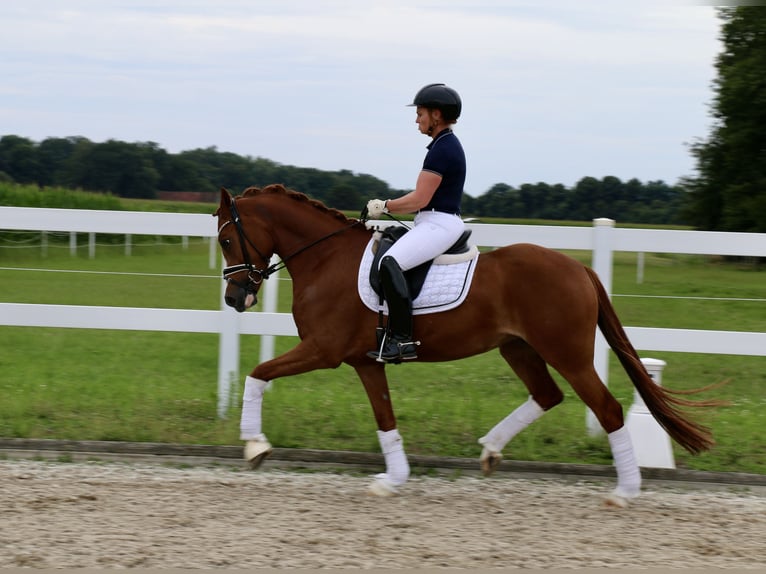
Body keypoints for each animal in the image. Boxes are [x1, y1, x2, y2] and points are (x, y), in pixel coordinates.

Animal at [214, 184, 720, 508]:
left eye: (226, 238)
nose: (236, 299)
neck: (325, 258)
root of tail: (580, 269)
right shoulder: (365, 361)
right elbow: (385, 418)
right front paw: (392, 480)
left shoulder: (324, 350)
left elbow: (257, 375)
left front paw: (254, 445)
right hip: (518, 348)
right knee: (547, 395)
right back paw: (491, 449)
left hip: (568, 353)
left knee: (607, 409)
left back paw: (624, 492)